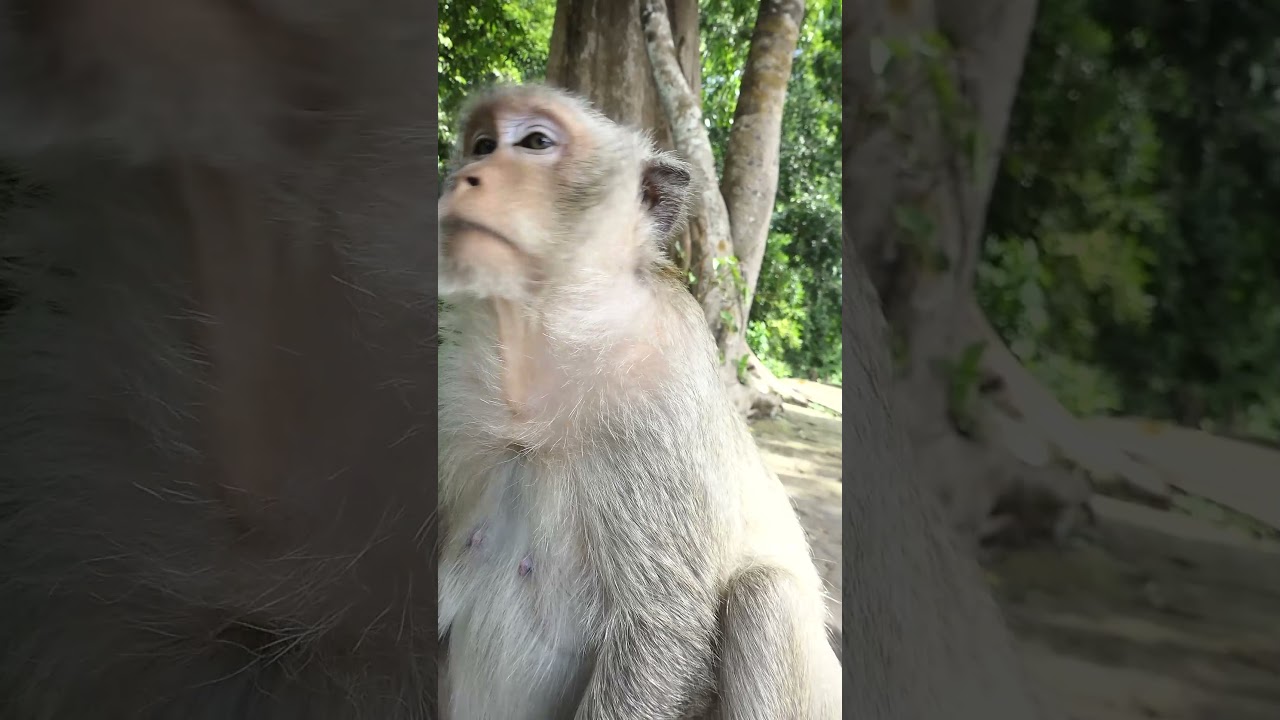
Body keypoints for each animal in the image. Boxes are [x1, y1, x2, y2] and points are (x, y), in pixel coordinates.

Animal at [436, 84, 841, 720]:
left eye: (535, 142)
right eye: (480, 145)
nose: (467, 176)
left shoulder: (662, 400)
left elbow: (664, 625)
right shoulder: (455, 392)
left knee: (766, 599)